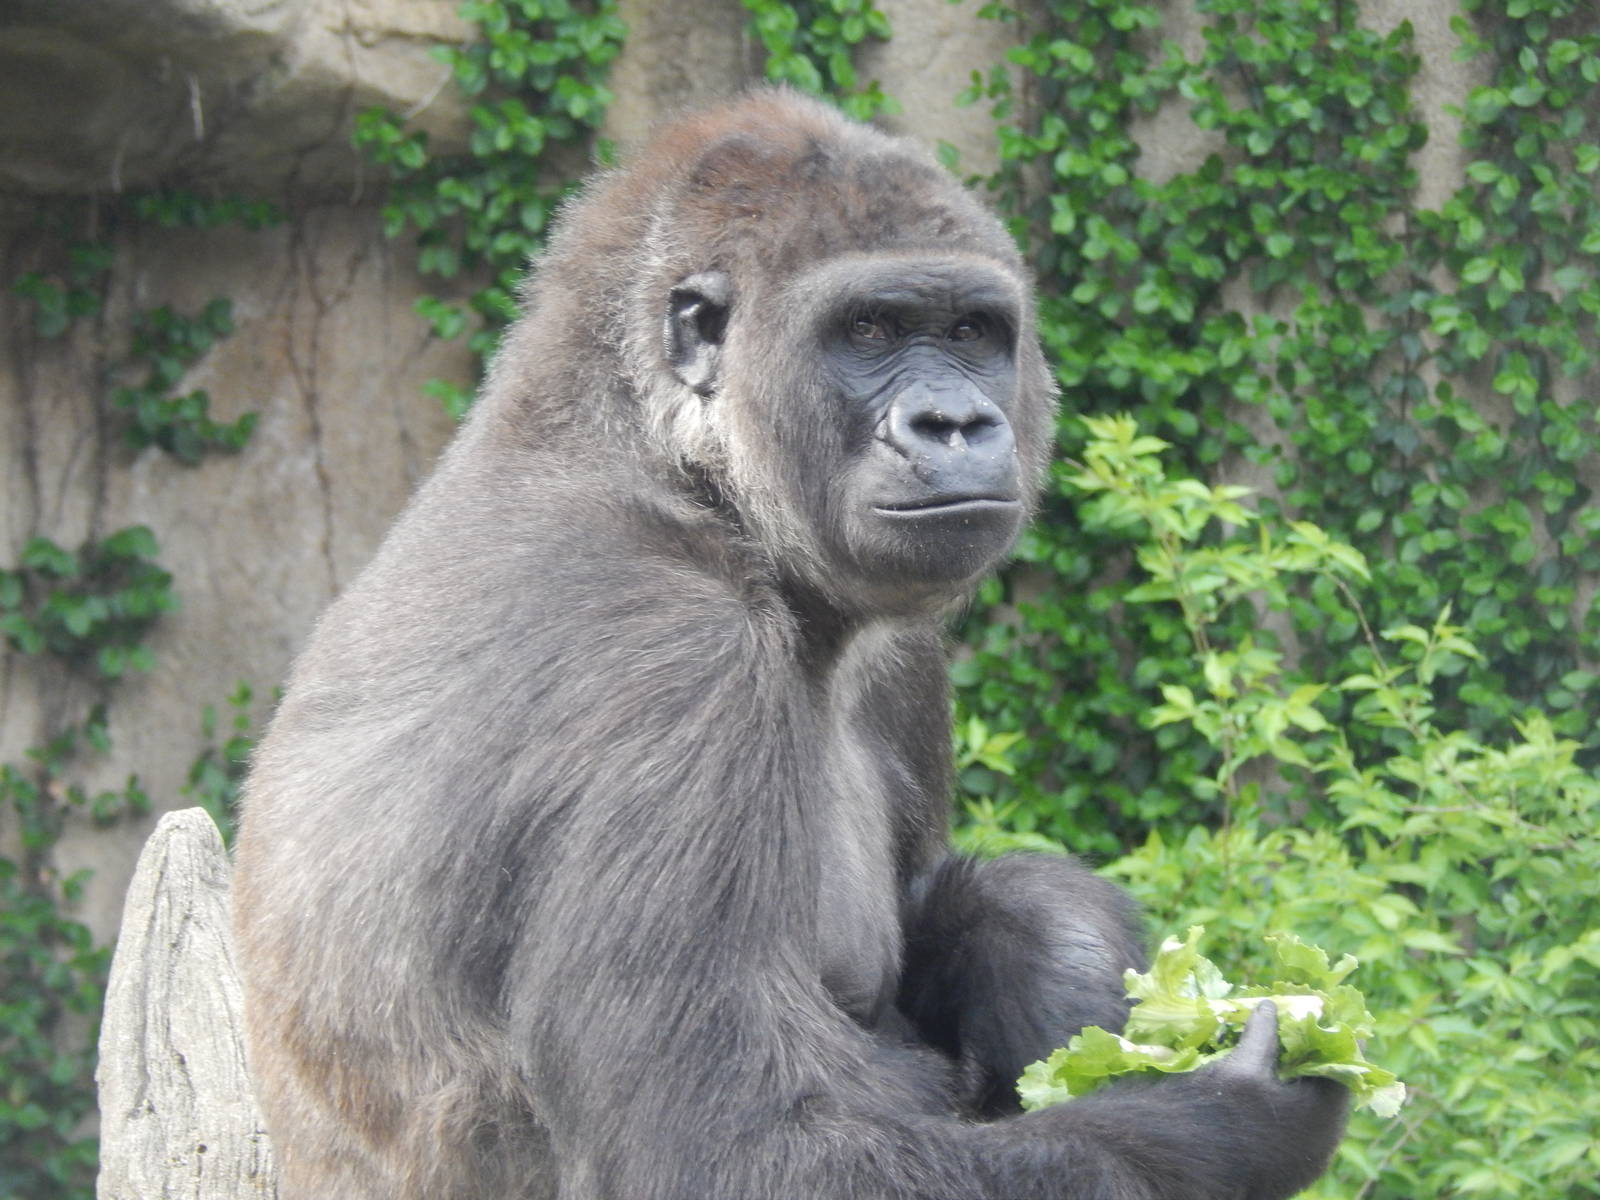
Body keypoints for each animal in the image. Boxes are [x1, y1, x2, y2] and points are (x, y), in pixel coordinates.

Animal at [232, 89, 1347, 1200]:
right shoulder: (665, 662)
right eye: (868, 328)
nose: (954, 421)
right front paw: (1233, 1119)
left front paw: (1058, 942)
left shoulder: (894, 644)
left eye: (972, 330)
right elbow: (725, 1149)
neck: (667, 466)